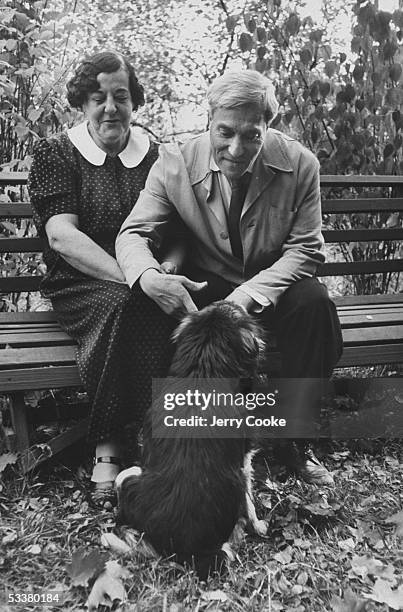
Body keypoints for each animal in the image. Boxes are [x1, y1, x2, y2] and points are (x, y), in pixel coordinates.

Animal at [115, 302, 270, 580]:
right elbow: (250, 501)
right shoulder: (244, 462)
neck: (202, 373)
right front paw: (259, 525)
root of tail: (184, 551)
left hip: (128, 476)